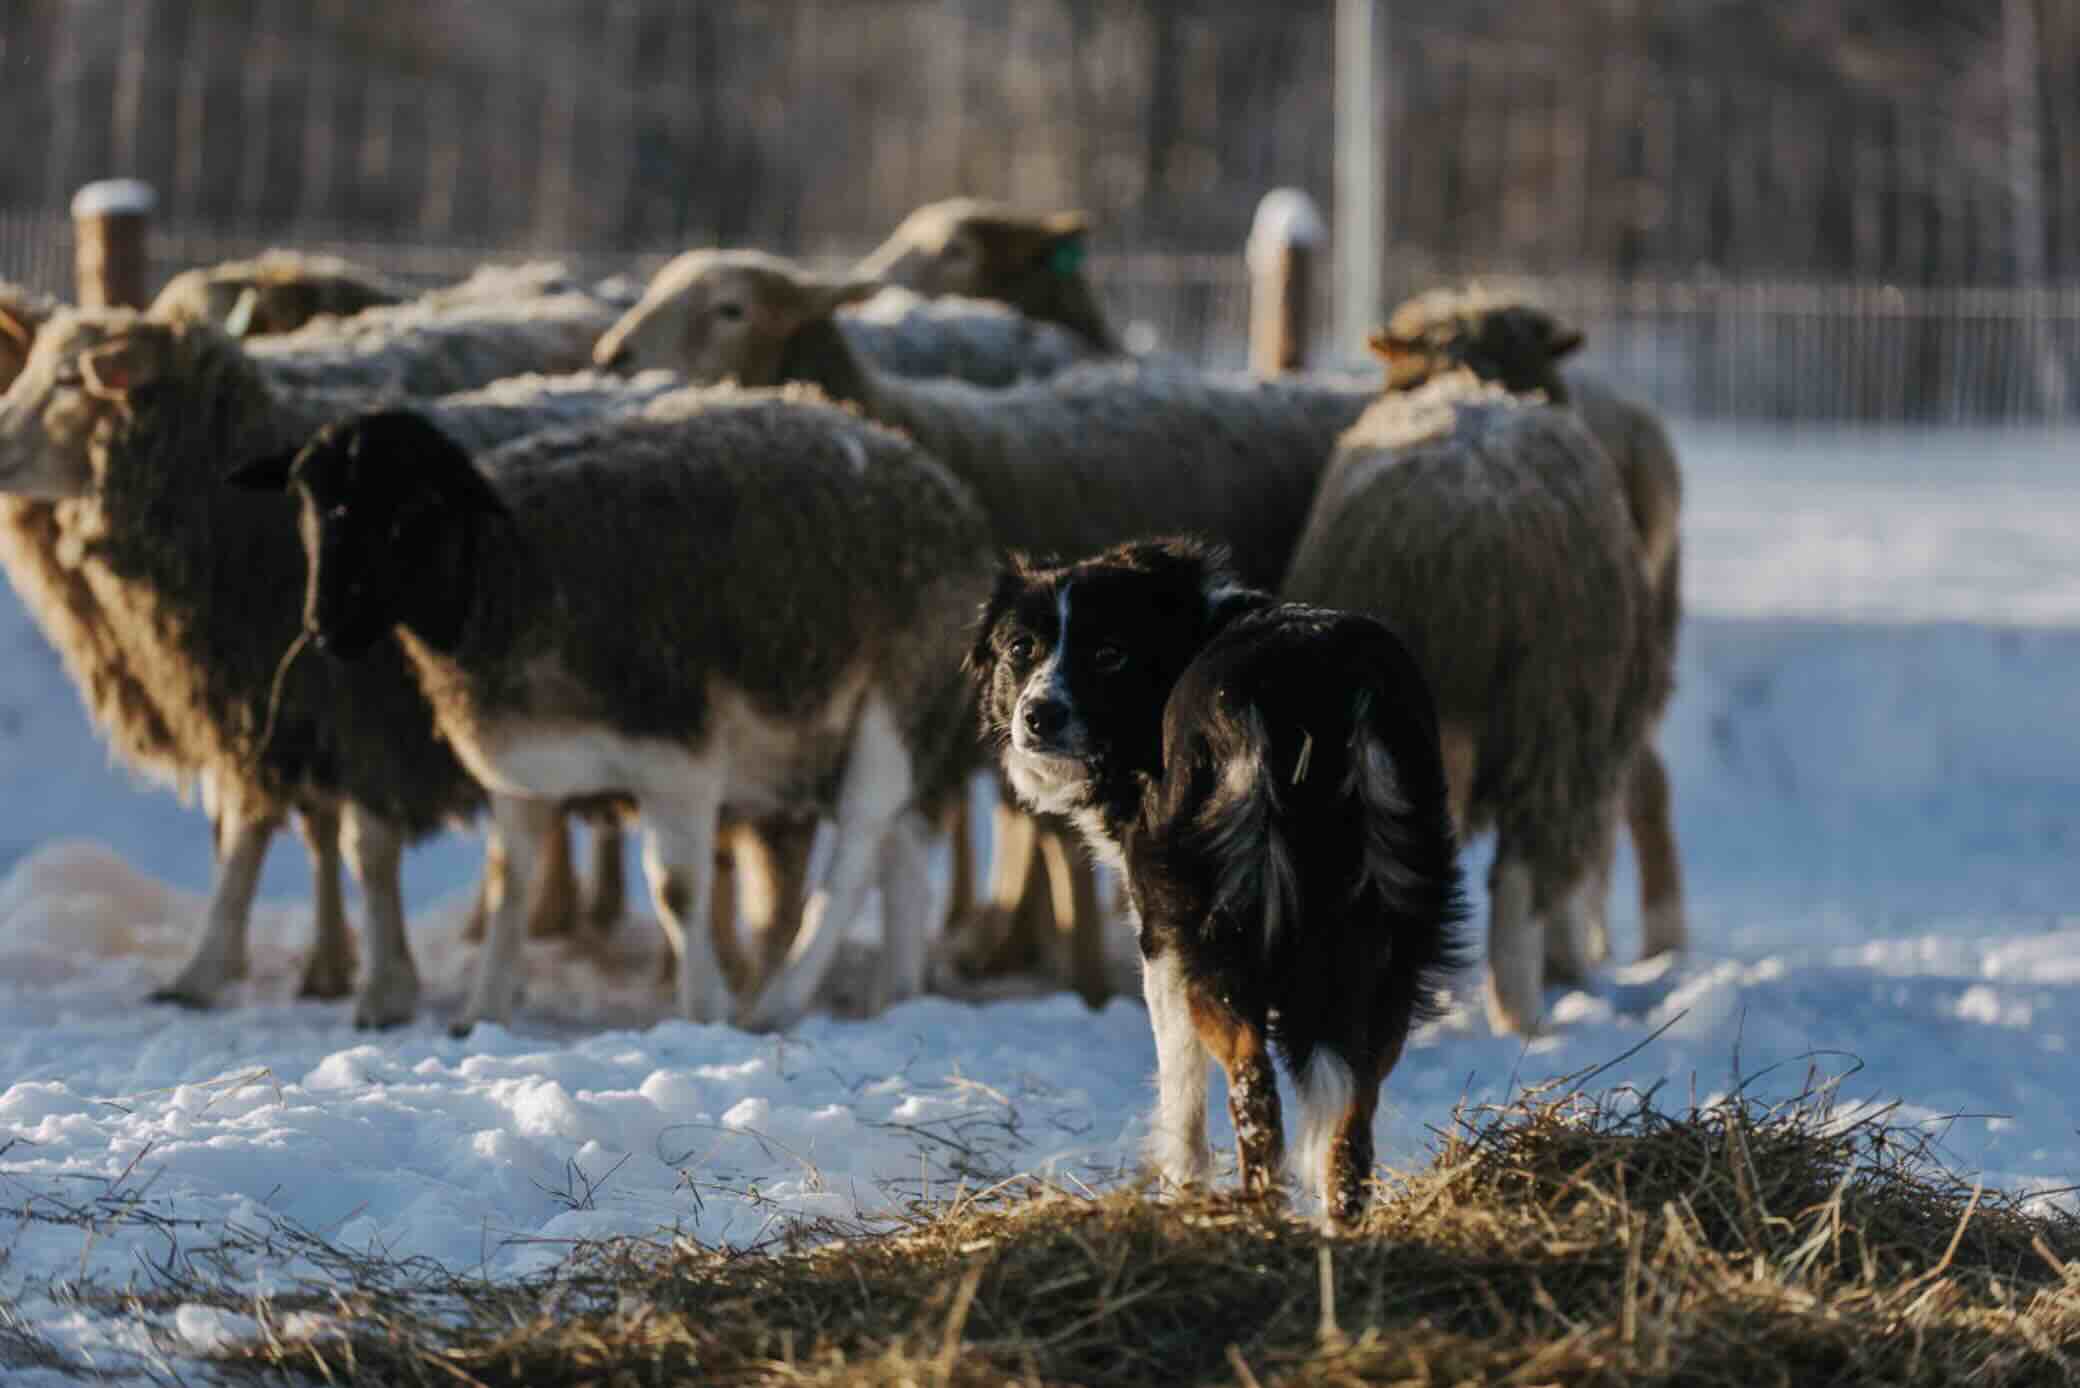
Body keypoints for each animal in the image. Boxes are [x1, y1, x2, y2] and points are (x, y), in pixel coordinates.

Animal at [0, 304, 680, 1027]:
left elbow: (368, 852)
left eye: (70, 379)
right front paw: (202, 974)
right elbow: (245, 839)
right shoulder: (264, 706)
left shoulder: (369, 717)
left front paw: (384, 987)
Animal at [241, 390, 994, 1035]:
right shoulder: (522, 773)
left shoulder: (678, 757)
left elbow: (677, 892)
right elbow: (509, 884)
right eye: (307, 506)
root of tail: (945, 487)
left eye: (409, 512)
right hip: (911, 717)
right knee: (903, 845)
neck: (504, 576)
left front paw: (704, 1010)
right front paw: (481, 1014)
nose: (324, 629)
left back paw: (781, 1001)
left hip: (896, 698)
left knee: (861, 846)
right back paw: (896, 997)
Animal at [969, 538, 1467, 1226]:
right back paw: (1339, 1229)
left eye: (1109, 653)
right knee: (1351, 1117)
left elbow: (1179, 1085)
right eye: (1022, 648)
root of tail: (1314, 684)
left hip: (1216, 926)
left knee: (1256, 1091)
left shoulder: (1162, 938)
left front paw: (1181, 1192)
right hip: (1393, 930)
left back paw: (1258, 1215)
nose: (1039, 716)